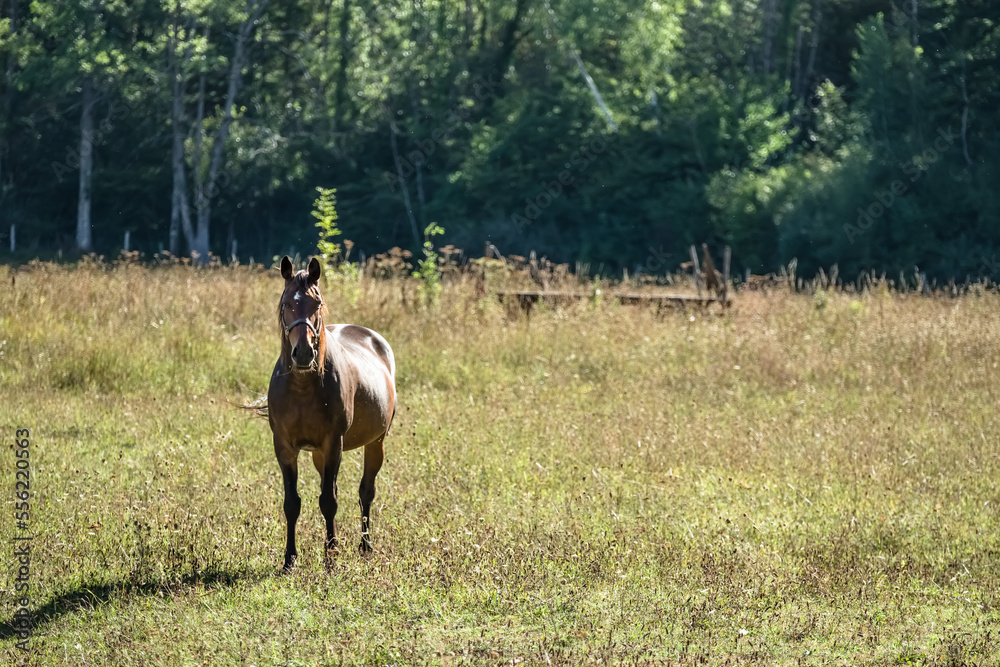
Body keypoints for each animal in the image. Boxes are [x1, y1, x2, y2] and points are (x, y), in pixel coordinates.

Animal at [267, 256, 396, 571]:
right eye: (286, 303)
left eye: (317, 303)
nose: (303, 353)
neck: (302, 388)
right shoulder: (284, 447)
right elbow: (292, 502)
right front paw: (289, 559)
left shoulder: (333, 444)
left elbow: (329, 501)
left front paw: (331, 558)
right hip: (318, 454)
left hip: (376, 443)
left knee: (366, 493)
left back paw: (365, 546)